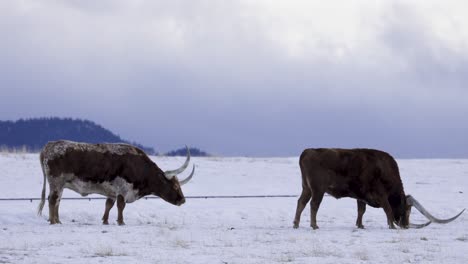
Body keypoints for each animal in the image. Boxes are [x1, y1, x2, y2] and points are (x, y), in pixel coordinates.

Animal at [37, 140, 196, 225]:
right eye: (175, 186)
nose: (183, 200)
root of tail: (49, 145)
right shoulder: (123, 189)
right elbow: (121, 206)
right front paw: (121, 222)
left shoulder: (112, 192)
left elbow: (109, 205)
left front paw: (105, 221)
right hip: (56, 182)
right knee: (53, 200)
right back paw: (53, 222)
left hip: (60, 185)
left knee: (57, 201)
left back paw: (57, 220)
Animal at [292, 148, 464, 229]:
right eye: (408, 210)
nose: (405, 226)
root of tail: (308, 151)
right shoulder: (381, 194)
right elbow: (387, 209)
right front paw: (392, 226)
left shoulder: (360, 196)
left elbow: (361, 210)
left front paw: (360, 225)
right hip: (318, 189)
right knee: (314, 205)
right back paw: (314, 225)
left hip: (306, 187)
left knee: (301, 202)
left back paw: (296, 224)